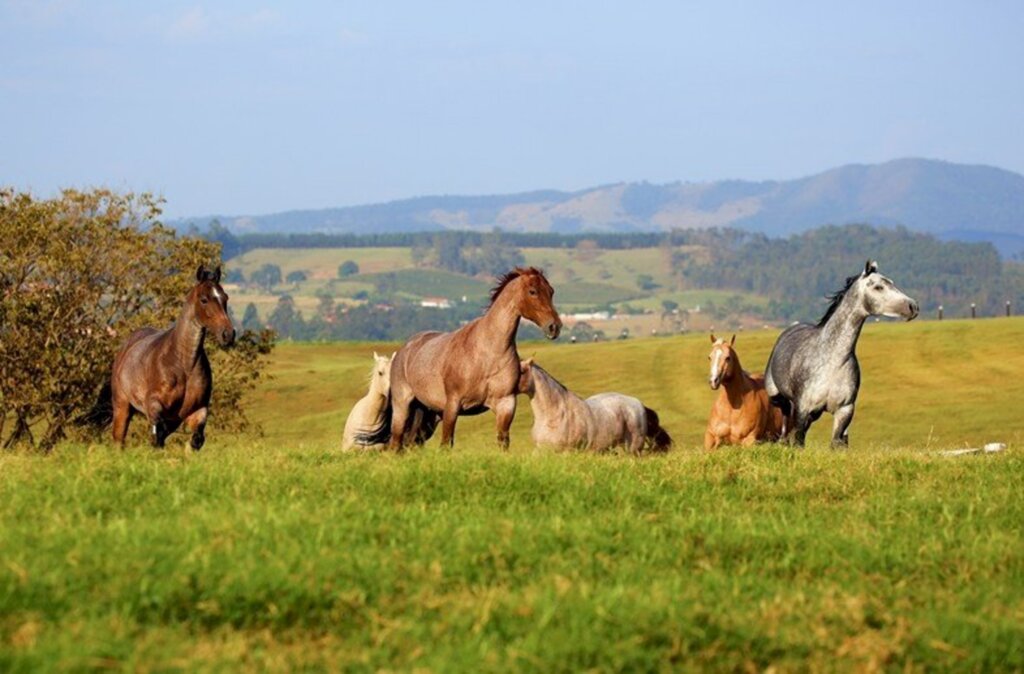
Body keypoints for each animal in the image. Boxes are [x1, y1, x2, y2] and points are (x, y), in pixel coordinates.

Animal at [109, 264, 236, 448]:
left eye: (225, 298)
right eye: (204, 299)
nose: (228, 334)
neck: (183, 364)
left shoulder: (197, 410)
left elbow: (196, 439)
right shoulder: (154, 406)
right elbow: (157, 435)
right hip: (122, 406)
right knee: (119, 440)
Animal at [356, 264, 565, 448]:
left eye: (552, 291)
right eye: (533, 291)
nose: (554, 327)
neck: (487, 354)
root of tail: (404, 350)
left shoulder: (505, 404)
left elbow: (503, 442)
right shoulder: (453, 405)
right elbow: (446, 443)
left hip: (428, 413)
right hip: (403, 407)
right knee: (396, 443)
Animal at [761, 260, 921, 448]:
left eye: (892, 283)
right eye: (878, 287)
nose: (913, 306)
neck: (832, 361)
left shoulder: (844, 409)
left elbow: (837, 442)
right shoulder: (802, 407)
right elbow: (799, 439)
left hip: (815, 413)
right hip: (777, 396)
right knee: (786, 414)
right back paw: (783, 440)